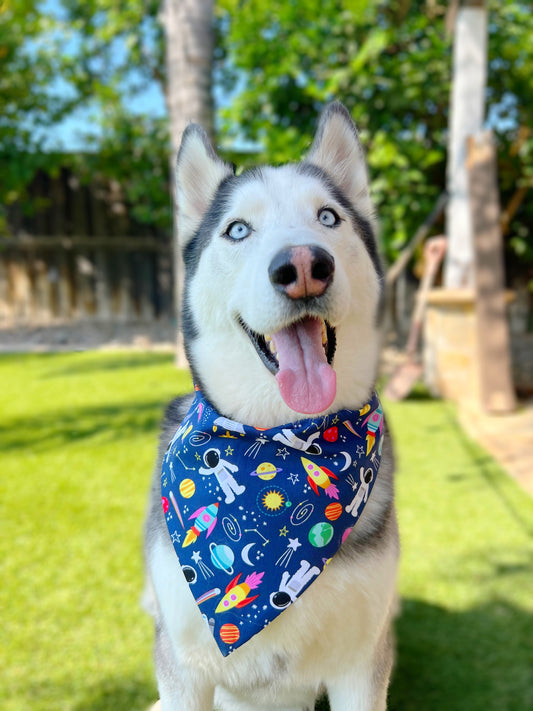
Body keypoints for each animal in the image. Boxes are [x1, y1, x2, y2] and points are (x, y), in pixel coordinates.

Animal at [143, 101, 396, 711]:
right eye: (238, 229)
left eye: (328, 217)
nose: (303, 265)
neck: (283, 440)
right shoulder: (183, 668)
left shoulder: (362, 664)